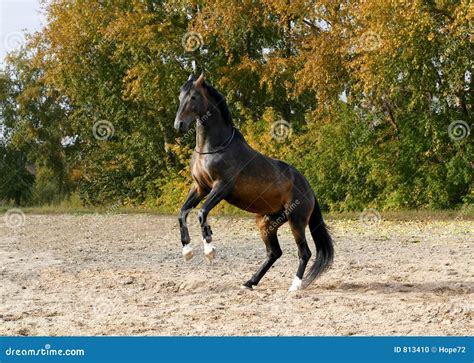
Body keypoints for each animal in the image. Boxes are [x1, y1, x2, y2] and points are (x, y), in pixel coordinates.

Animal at [174, 74, 334, 292]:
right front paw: (187, 252)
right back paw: (249, 282)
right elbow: (183, 213)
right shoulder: (200, 187)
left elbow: (202, 213)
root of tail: (308, 189)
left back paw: (294, 286)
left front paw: (209, 250)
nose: (179, 125)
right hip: (267, 222)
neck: (212, 148)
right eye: (180, 96)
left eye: (193, 97)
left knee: (304, 252)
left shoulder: (221, 187)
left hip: (296, 220)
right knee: (274, 253)